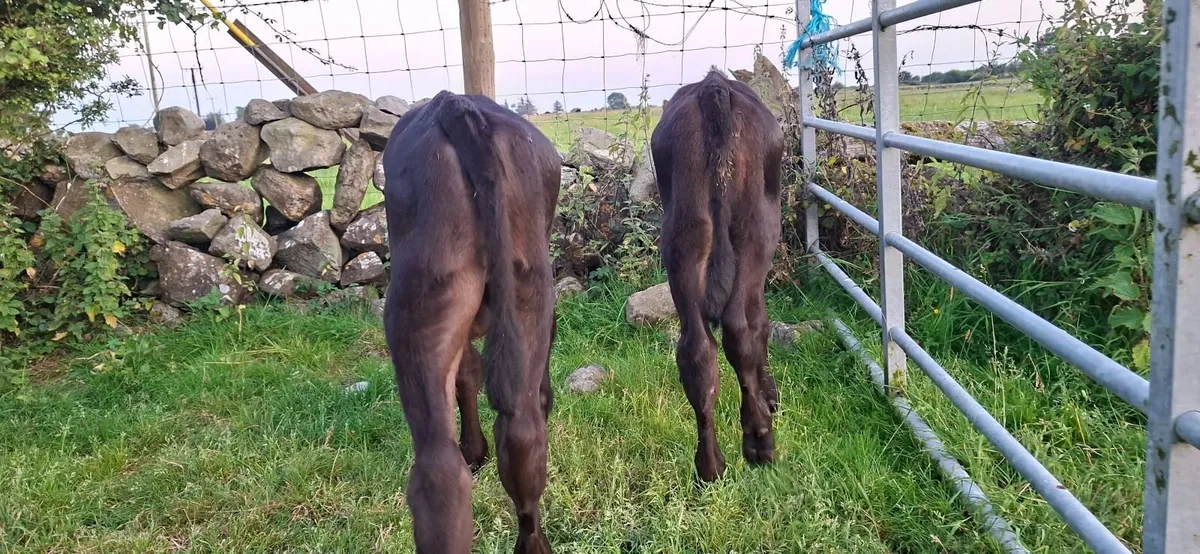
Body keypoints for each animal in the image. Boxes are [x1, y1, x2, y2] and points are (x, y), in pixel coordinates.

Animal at [381, 91, 560, 553]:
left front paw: (474, 449)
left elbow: (468, 372)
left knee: (439, 471)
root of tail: (455, 106)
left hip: (421, 310)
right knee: (522, 432)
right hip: (527, 287)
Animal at [650, 70, 784, 482]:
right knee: (740, 329)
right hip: (755, 232)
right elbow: (761, 327)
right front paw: (769, 395)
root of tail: (714, 87)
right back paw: (759, 441)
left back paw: (710, 465)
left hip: (683, 240)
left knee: (697, 349)